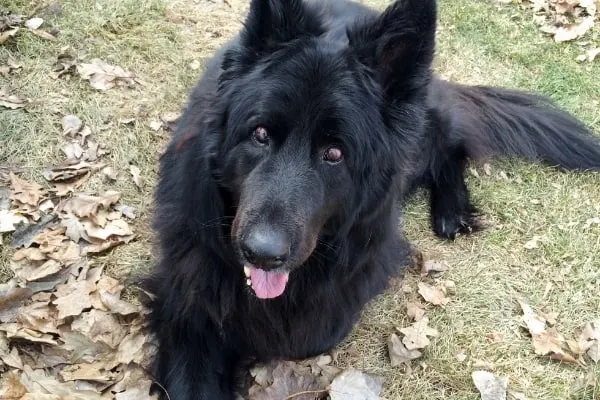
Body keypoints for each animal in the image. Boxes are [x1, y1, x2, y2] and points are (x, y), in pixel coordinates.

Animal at [142, 0, 600, 396]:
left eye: (334, 153)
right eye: (259, 134)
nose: (262, 254)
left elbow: (304, 333)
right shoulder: (186, 307)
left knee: (451, 147)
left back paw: (452, 210)